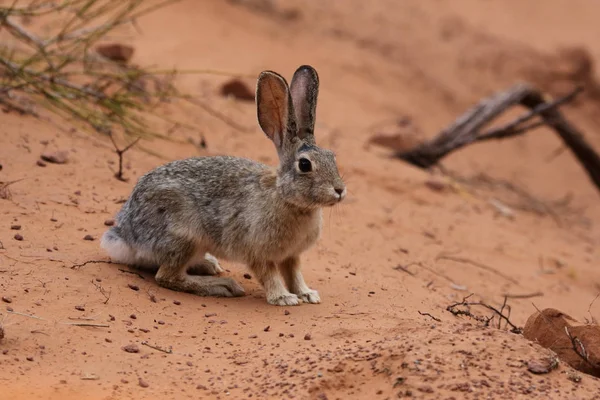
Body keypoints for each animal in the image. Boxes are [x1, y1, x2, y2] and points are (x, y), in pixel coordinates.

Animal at [101, 65, 346, 306]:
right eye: (305, 165)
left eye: (332, 156)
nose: (340, 190)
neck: (285, 198)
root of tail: (126, 235)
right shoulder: (257, 252)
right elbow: (270, 275)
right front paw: (283, 298)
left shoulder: (291, 256)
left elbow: (294, 274)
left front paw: (307, 294)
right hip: (184, 236)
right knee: (167, 276)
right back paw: (223, 285)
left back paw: (209, 265)